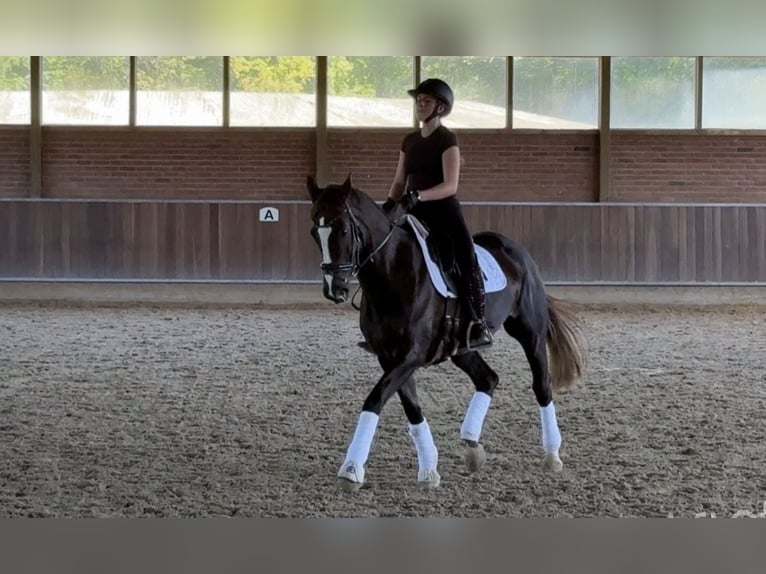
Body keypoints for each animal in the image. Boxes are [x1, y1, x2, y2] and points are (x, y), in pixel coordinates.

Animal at [306, 174, 587, 491]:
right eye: (315, 232)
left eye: (342, 229)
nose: (335, 289)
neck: (392, 275)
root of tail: (518, 252)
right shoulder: (389, 357)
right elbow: (412, 407)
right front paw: (429, 470)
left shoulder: (411, 355)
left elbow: (375, 400)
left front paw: (351, 469)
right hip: (462, 349)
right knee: (488, 378)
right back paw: (473, 447)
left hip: (530, 332)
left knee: (541, 386)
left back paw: (552, 456)